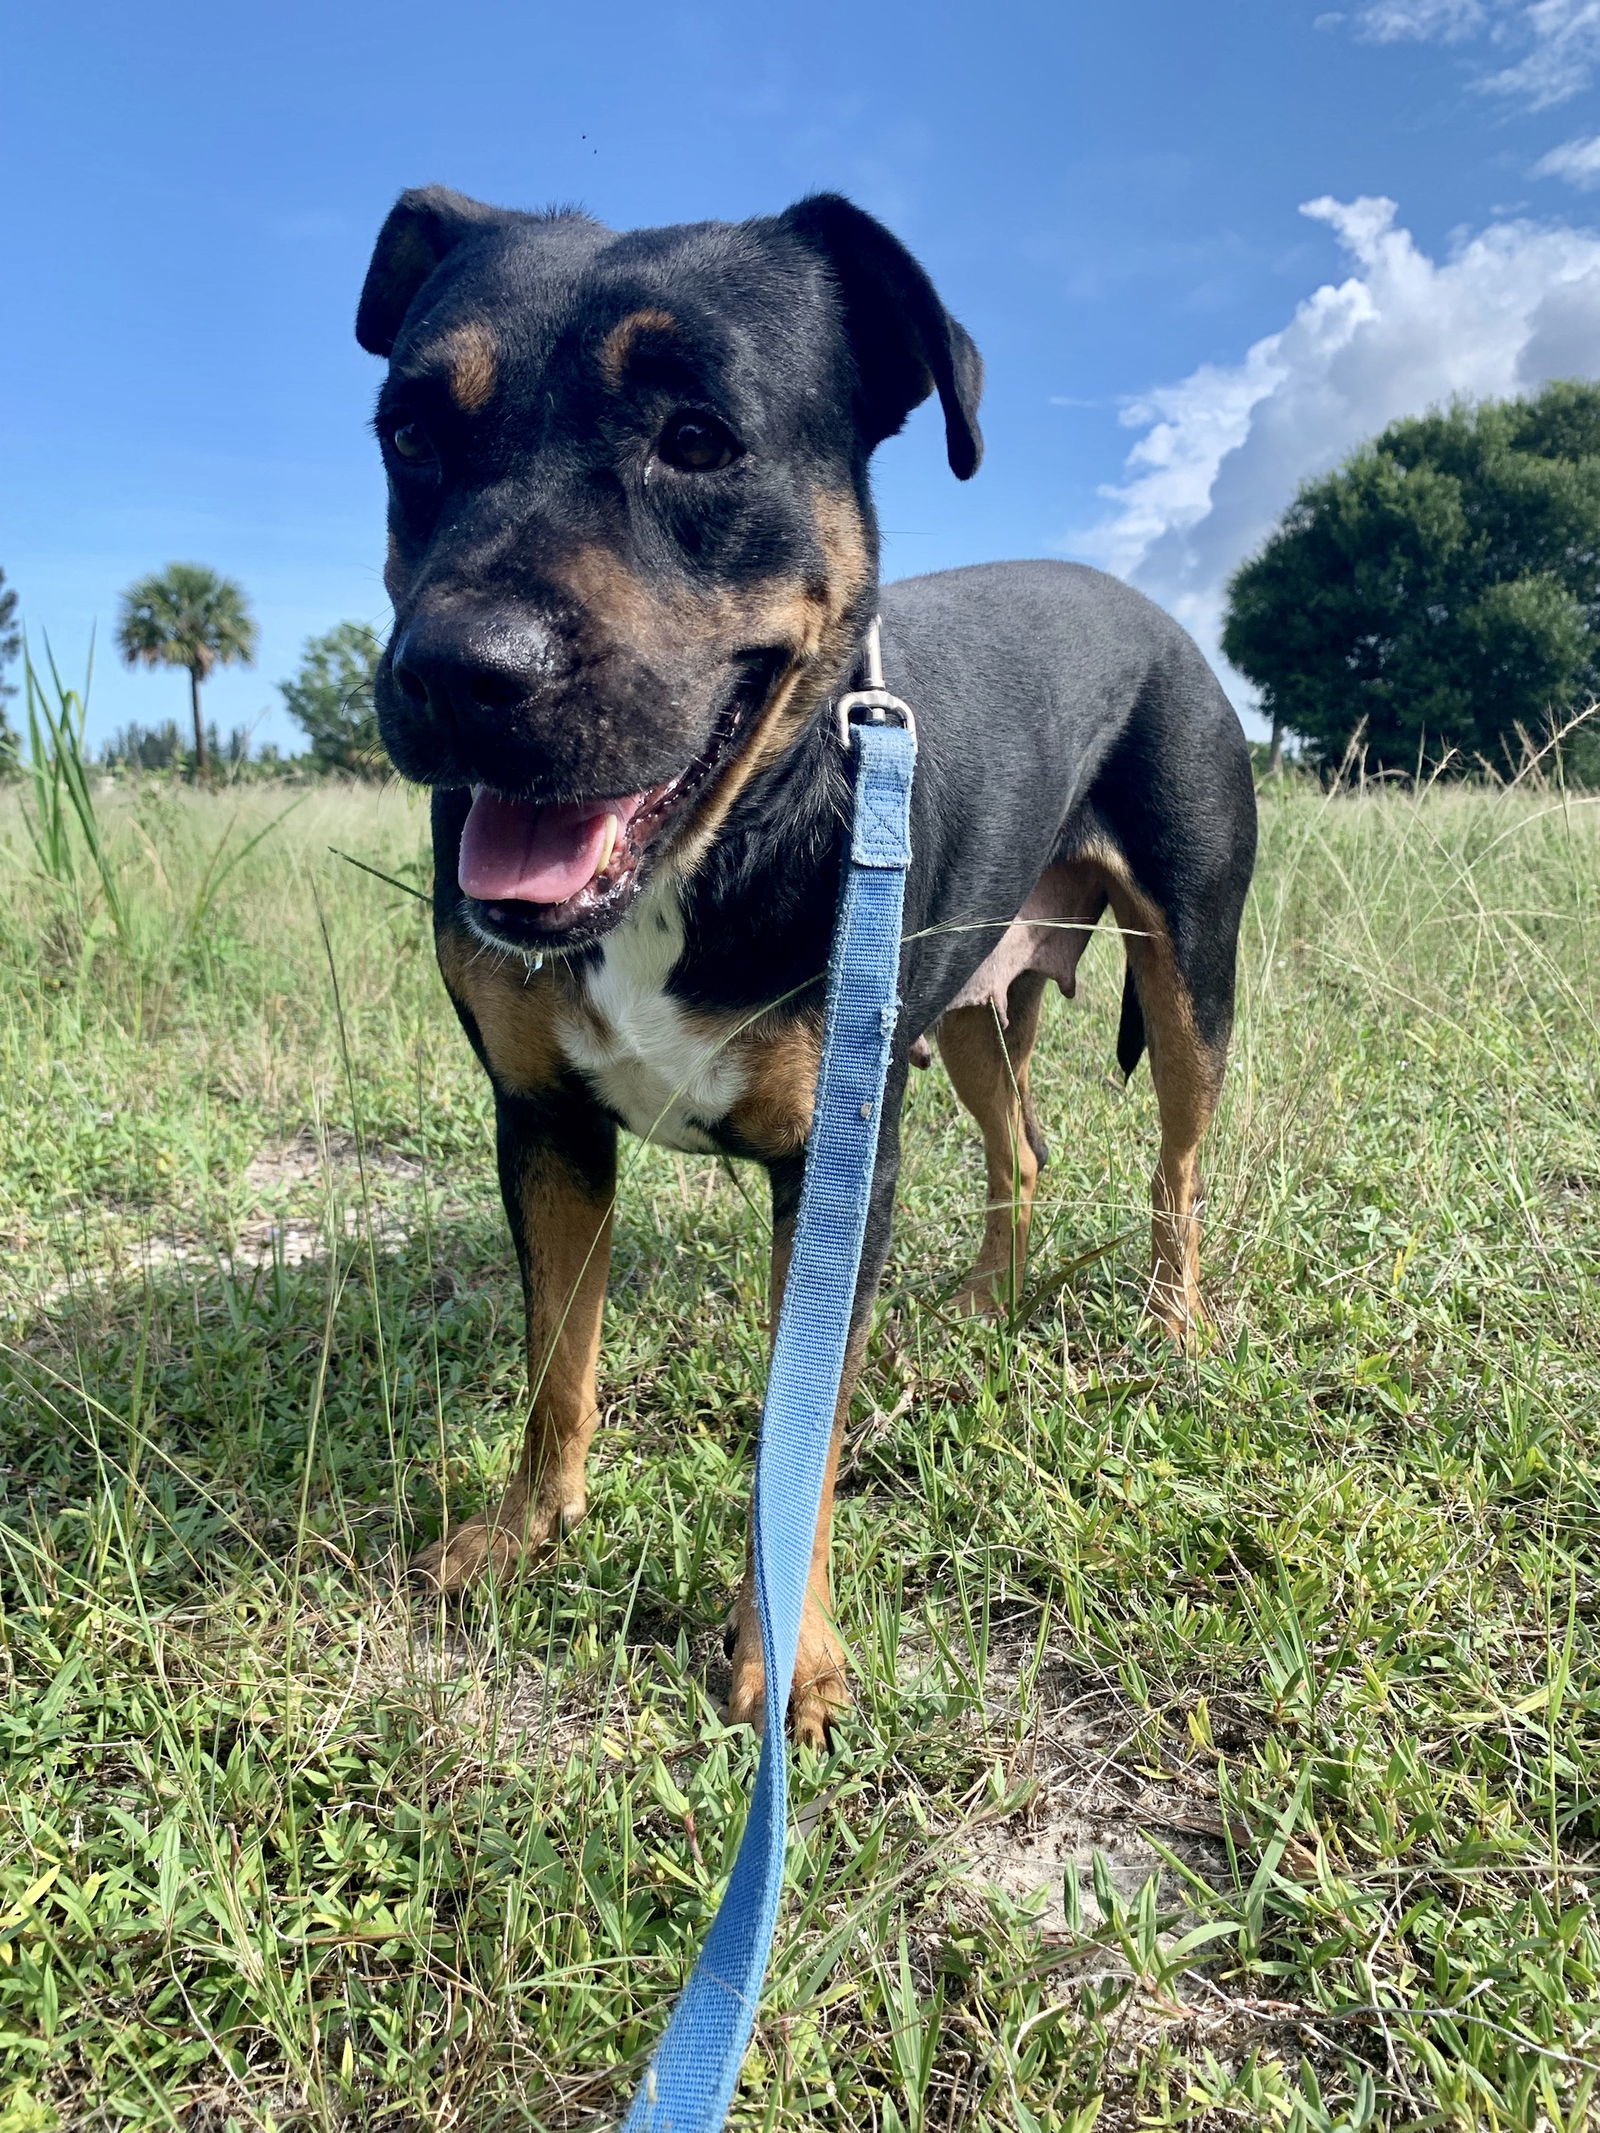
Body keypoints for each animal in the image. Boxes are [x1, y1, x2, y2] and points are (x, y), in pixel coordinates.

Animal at [356, 183, 1262, 1749]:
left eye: (698, 438)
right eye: (411, 431)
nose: (457, 674)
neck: (710, 849)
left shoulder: (835, 1161)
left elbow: (800, 1434)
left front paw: (787, 1658)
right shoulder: (543, 1124)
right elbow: (555, 1361)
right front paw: (528, 1530)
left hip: (1188, 969)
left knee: (1178, 1170)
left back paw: (1172, 1327)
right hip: (962, 1011)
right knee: (1022, 1147)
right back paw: (983, 1301)